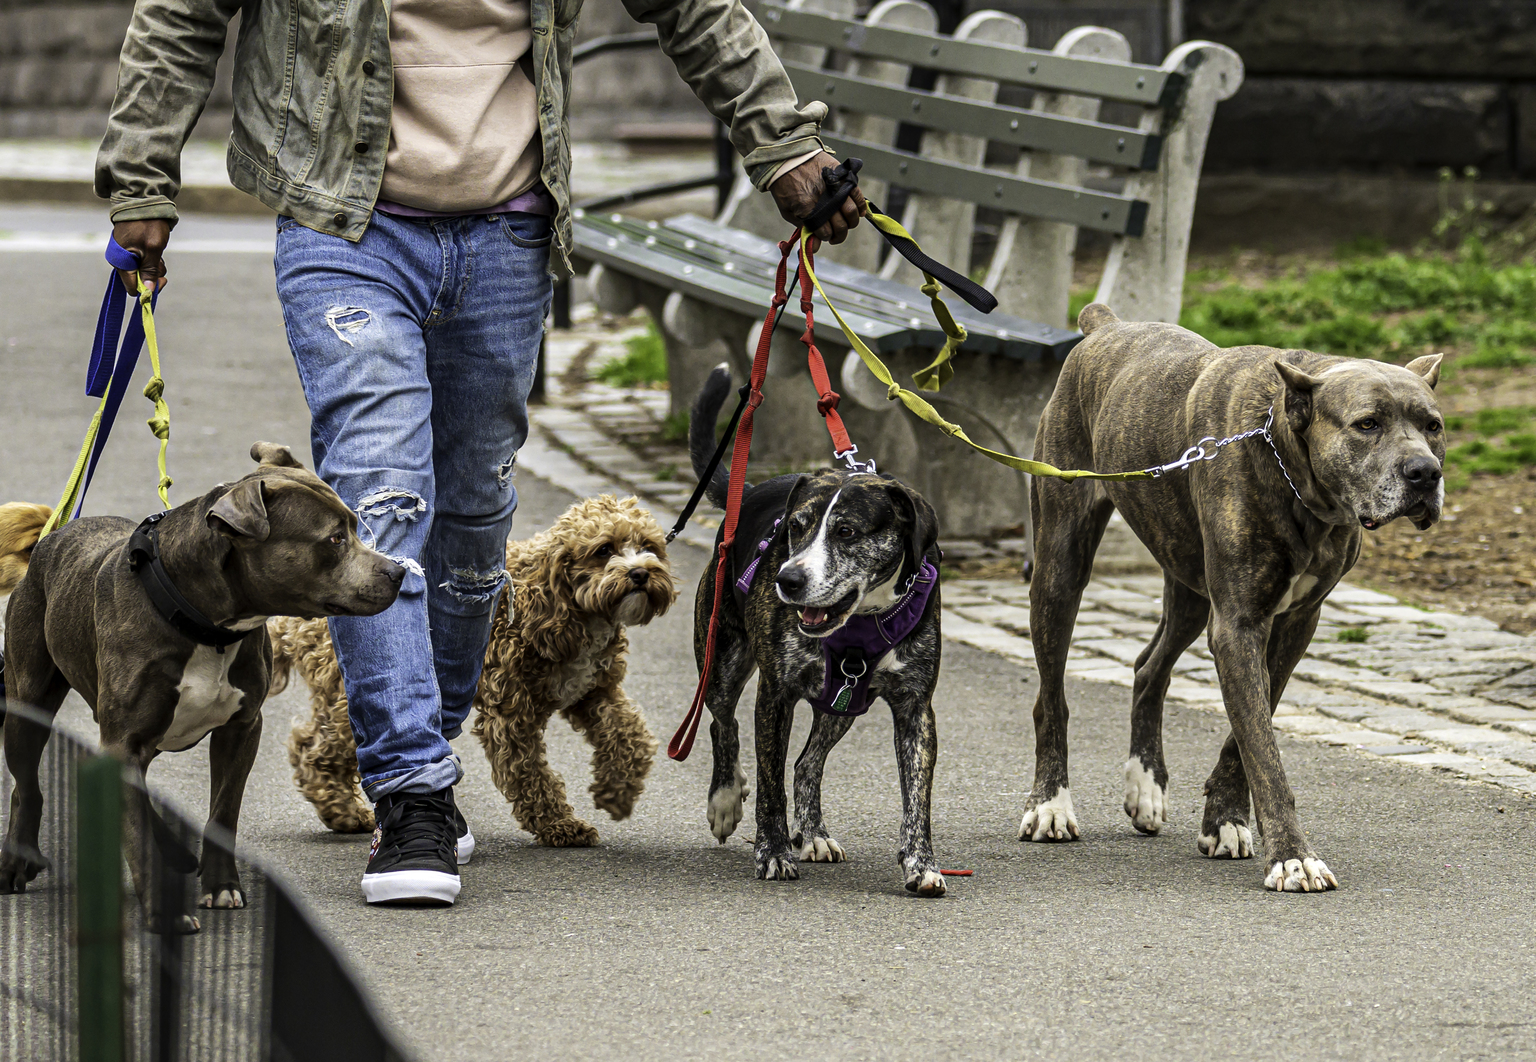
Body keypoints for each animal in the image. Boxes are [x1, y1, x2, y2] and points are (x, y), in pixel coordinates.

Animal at [0, 445, 405, 928]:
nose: (398, 572)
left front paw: (221, 885)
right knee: (26, 786)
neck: (204, 626)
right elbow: (135, 833)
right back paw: (17, 860)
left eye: (353, 529)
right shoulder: (125, 740)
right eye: (333, 540)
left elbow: (222, 812)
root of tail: (53, 535)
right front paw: (163, 914)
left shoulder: (241, 729)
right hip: (28, 706)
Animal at [271, 497, 678, 848]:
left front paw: (617, 791)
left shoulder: (594, 692)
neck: (563, 603)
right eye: (604, 550)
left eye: (649, 546)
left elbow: (629, 734)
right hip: (359, 691)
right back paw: (342, 810)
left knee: (311, 741)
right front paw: (560, 825)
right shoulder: (512, 715)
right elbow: (530, 774)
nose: (640, 573)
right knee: (315, 748)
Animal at [688, 365, 946, 897]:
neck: (863, 616)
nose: (788, 580)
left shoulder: (915, 708)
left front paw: (921, 863)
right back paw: (725, 799)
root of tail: (750, 492)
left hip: (845, 700)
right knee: (723, 723)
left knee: (807, 762)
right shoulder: (775, 694)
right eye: (796, 526)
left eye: (846, 531)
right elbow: (769, 786)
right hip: (721, 661)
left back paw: (814, 834)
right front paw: (772, 851)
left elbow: (917, 796)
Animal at [1026, 302, 1443, 891]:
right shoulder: (1239, 625)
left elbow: (1249, 731)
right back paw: (1050, 805)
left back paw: (1145, 785)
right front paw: (1292, 856)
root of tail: (1105, 325)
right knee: (1052, 697)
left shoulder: (1293, 624)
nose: (1426, 472)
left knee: (1149, 667)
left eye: (1433, 426)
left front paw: (1223, 818)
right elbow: (1264, 750)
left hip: (1189, 586)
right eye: (1368, 424)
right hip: (1061, 566)